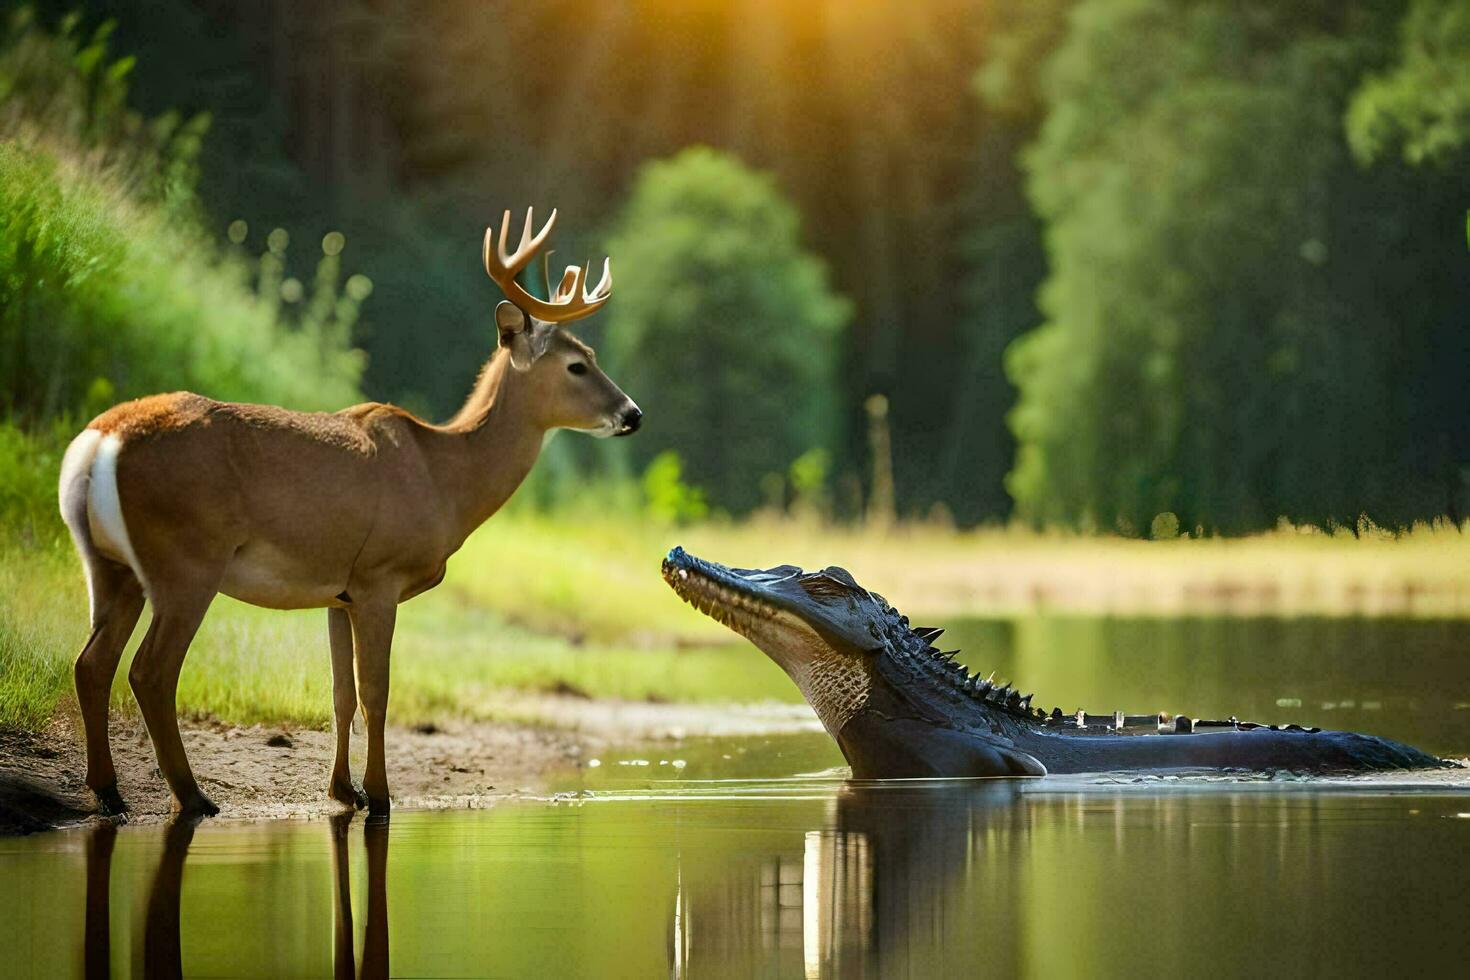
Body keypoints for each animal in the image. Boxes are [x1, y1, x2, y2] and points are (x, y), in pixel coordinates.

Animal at [54, 211, 640, 816]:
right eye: (577, 365)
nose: (633, 414)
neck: (444, 475)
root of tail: (101, 441)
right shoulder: (380, 577)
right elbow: (376, 692)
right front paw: (379, 795)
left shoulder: (339, 593)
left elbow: (341, 694)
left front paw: (343, 790)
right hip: (186, 560)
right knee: (149, 671)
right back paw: (192, 798)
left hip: (111, 566)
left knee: (91, 662)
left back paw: (109, 791)